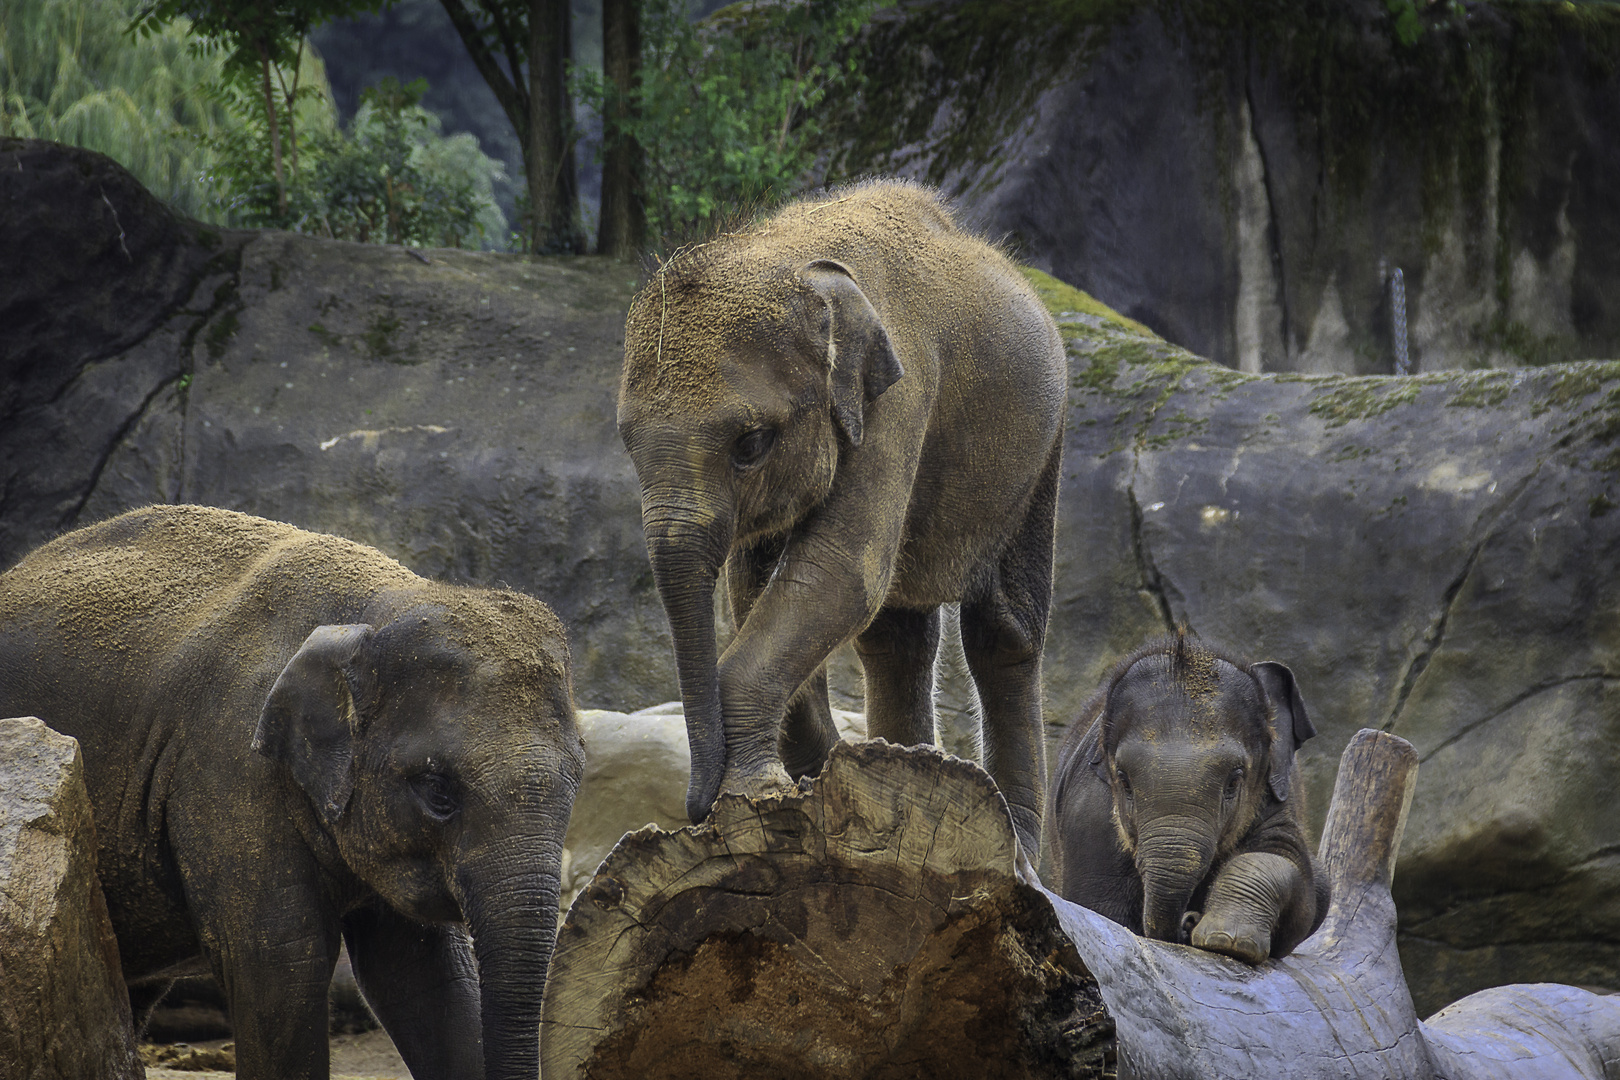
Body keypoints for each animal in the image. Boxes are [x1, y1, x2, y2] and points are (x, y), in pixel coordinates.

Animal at [0, 508, 589, 1080]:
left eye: (577, 780)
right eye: (437, 789)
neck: (373, 610)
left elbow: (425, 978)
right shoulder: (225, 767)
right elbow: (282, 963)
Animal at [615, 179, 1062, 861]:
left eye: (750, 443)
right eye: (627, 444)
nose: (693, 810)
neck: (789, 256)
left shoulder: (902, 395)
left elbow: (840, 572)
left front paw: (753, 790)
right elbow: (759, 585)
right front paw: (785, 782)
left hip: (1044, 451)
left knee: (1004, 633)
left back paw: (1021, 852)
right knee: (898, 637)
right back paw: (911, 764)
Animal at [1049, 634, 1328, 965]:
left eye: (1234, 780)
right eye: (1123, 779)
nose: (1189, 921)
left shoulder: (1275, 793)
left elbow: (1290, 868)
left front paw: (1227, 940)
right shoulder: (1088, 814)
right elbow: (1098, 905)